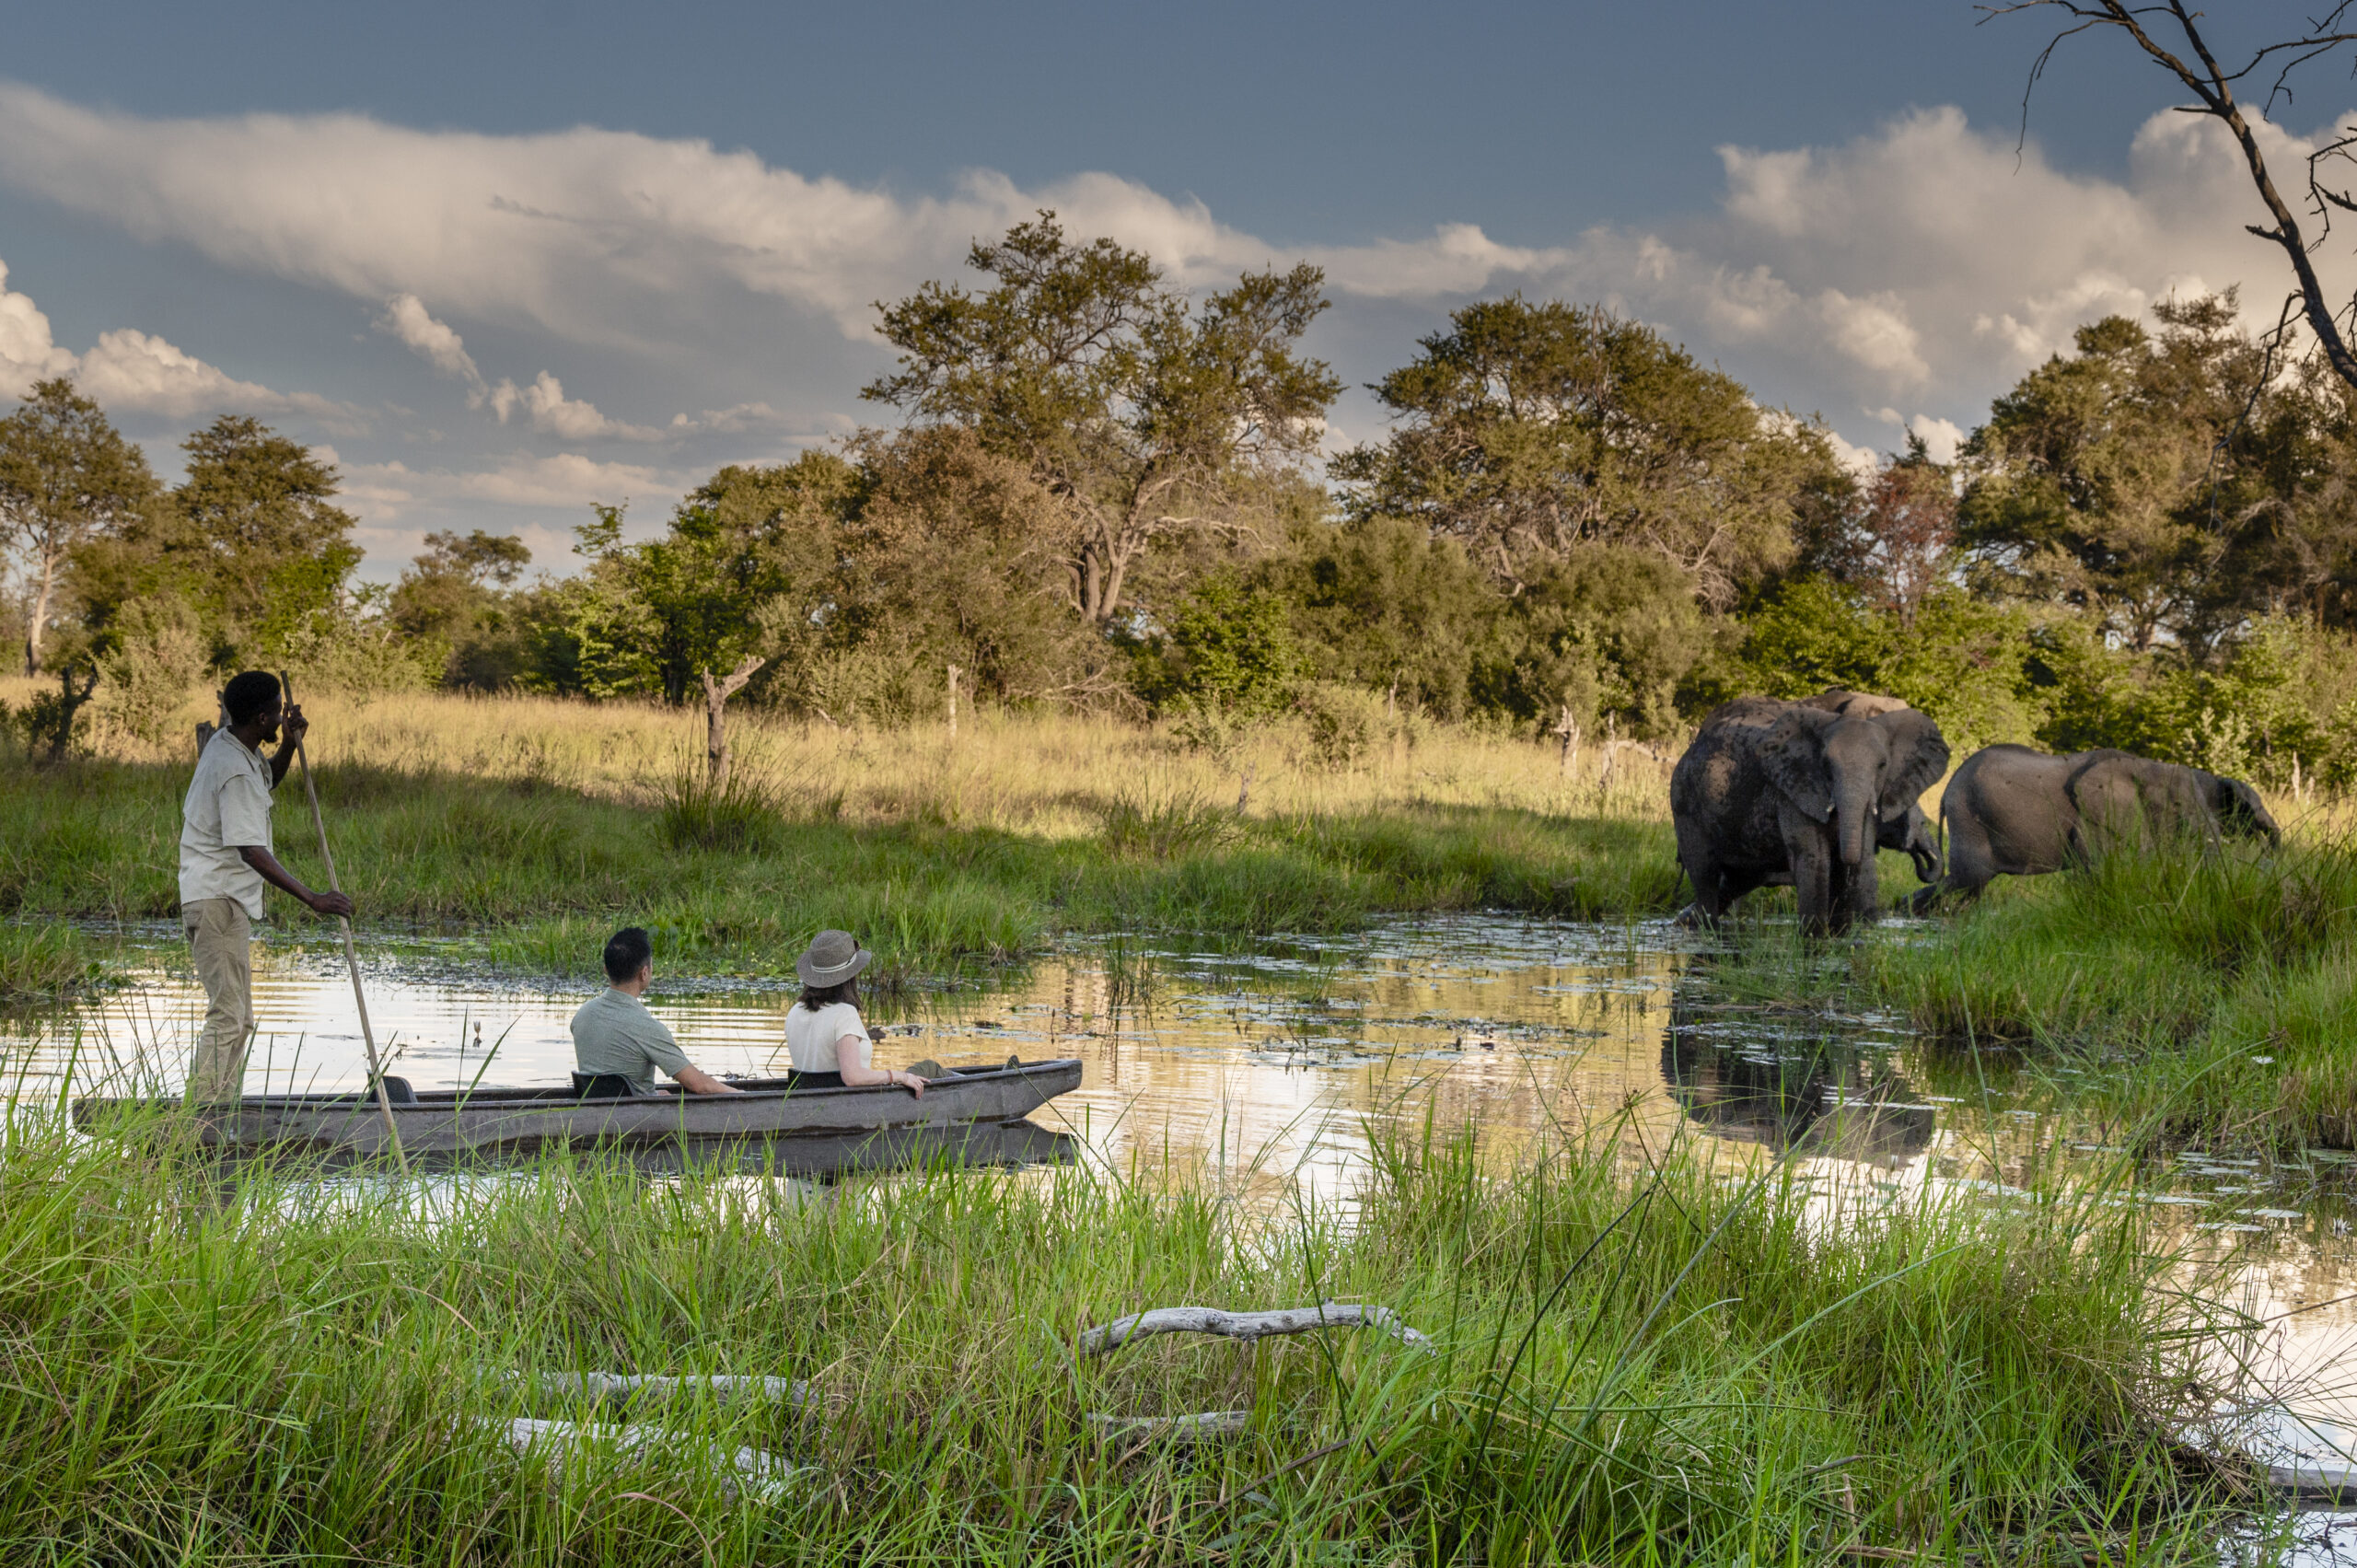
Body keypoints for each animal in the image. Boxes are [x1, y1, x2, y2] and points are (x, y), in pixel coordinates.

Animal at [1678, 688, 1951, 928]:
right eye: (1922, 823)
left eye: (1884, 765)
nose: (1919, 856)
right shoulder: (1795, 789)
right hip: (1688, 804)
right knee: (1706, 874)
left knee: (1736, 881)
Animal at [1913, 745, 2282, 905]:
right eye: (2178, 808)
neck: (2149, 767)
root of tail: (1946, 791)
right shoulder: (2098, 819)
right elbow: (2099, 868)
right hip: (1970, 819)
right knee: (1966, 879)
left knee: (1968, 889)